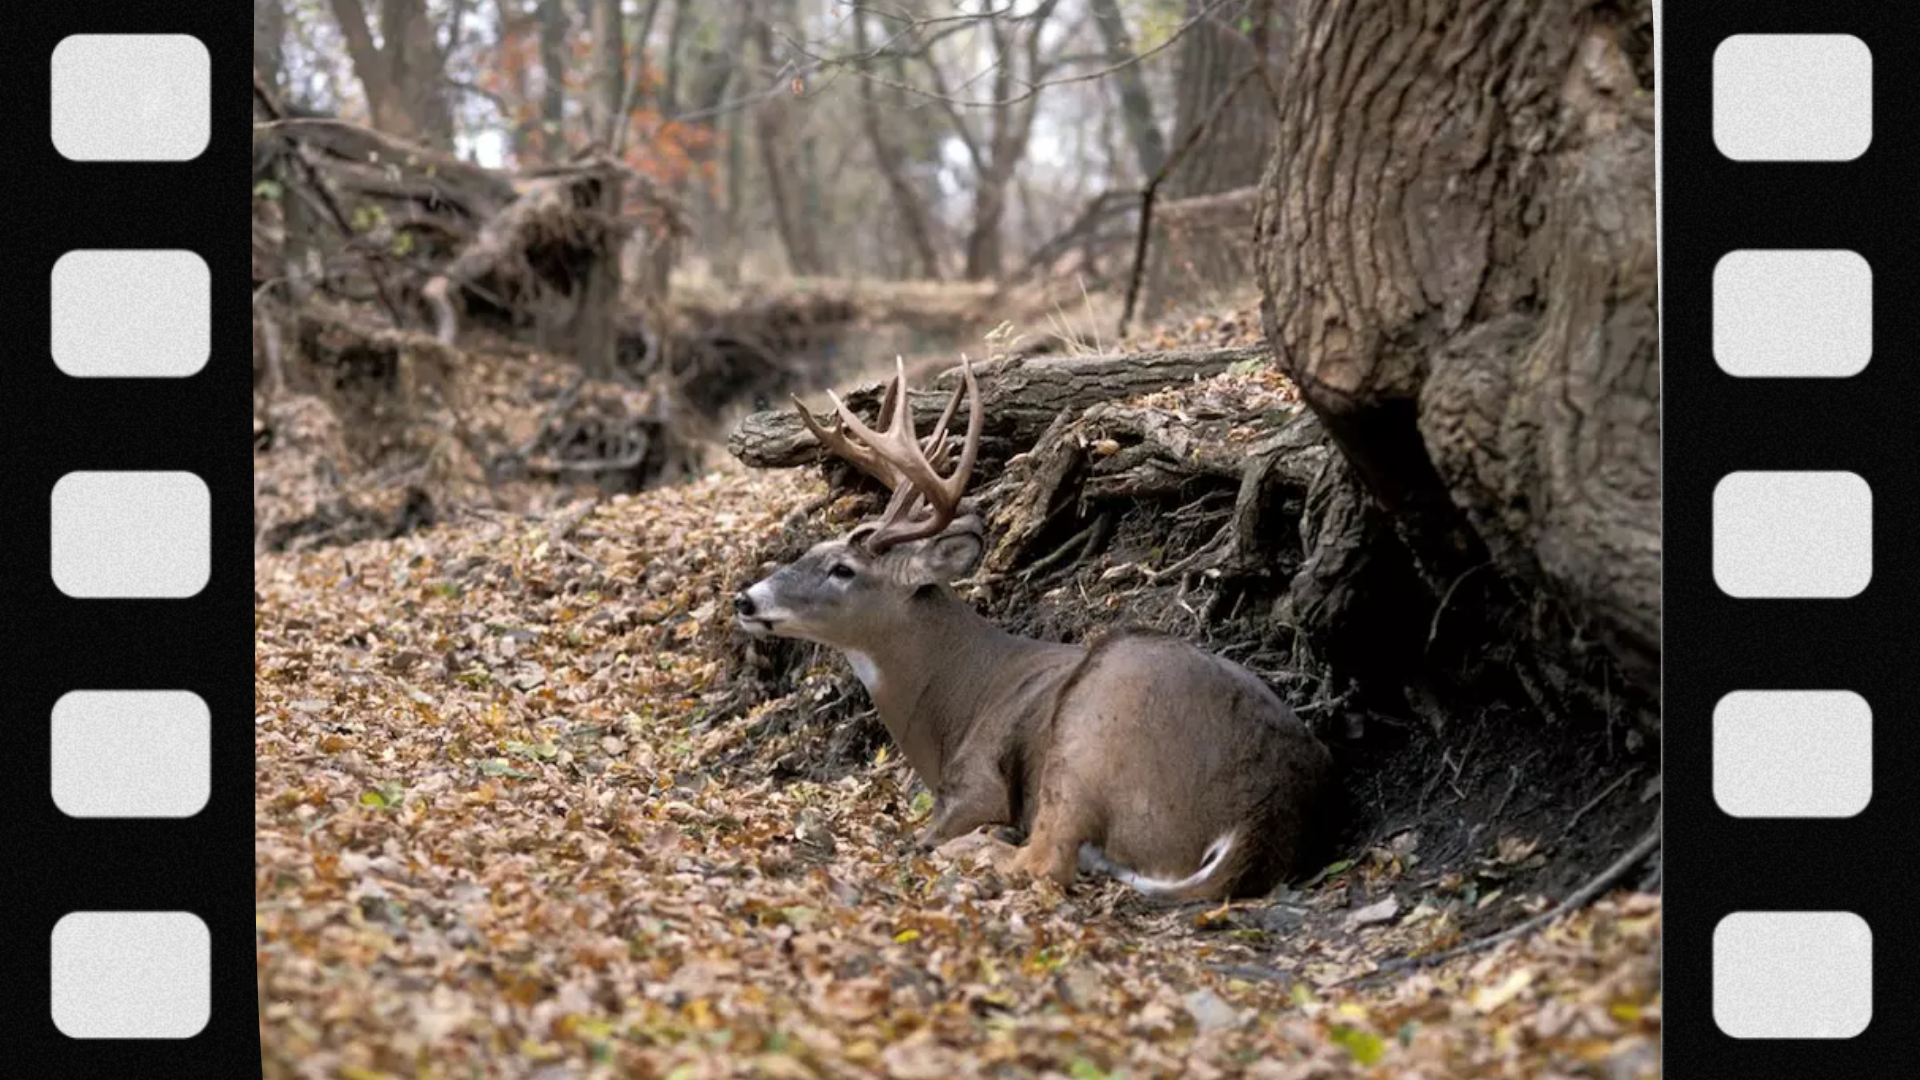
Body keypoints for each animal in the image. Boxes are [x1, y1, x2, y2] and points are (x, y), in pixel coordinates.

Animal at [733, 356, 1334, 901]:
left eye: (843, 570)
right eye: (812, 550)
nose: (745, 599)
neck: (953, 700)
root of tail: (1255, 822)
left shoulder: (976, 784)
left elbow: (927, 834)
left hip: (1092, 731)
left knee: (1045, 860)